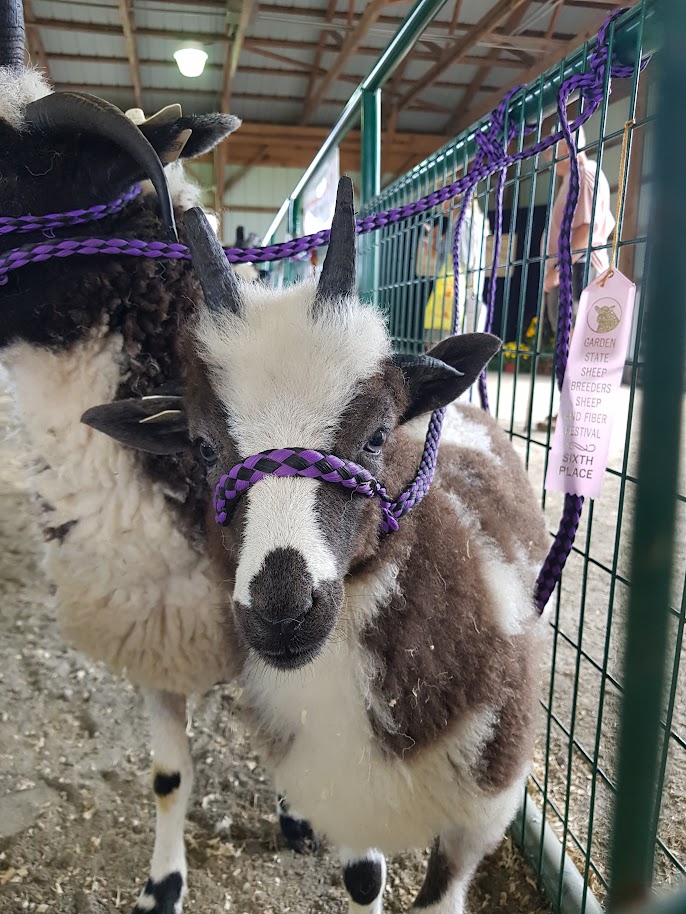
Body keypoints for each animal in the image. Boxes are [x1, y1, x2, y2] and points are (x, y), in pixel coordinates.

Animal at [84, 175, 550, 913]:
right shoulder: (347, 793)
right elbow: (364, 877)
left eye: (379, 435)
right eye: (203, 447)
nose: (282, 609)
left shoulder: (484, 809)